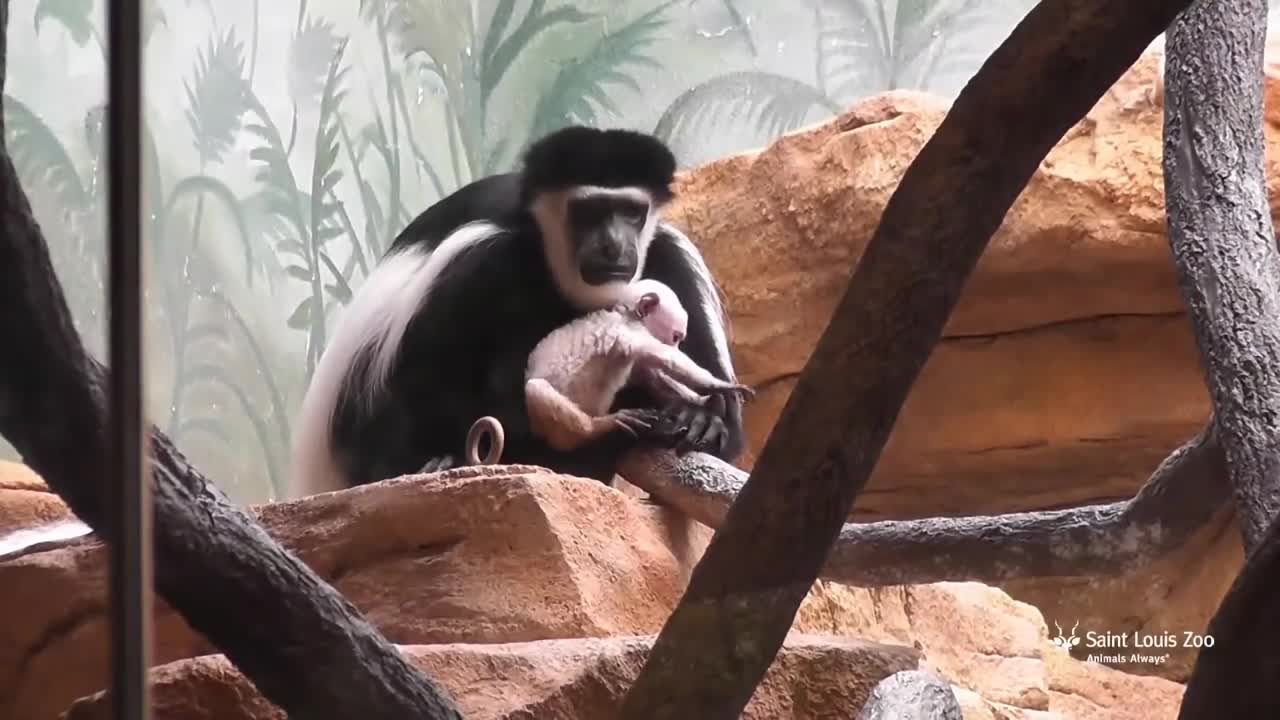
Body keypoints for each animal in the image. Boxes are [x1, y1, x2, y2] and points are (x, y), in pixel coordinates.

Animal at [522, 274, 752, 448]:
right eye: (676, 337)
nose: (676, 345)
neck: (627, 315)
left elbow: (657, 378)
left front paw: (703, 402)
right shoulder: (631, 331)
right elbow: (667, 360)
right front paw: (722, 386)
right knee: (536, 389)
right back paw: (599, 426)